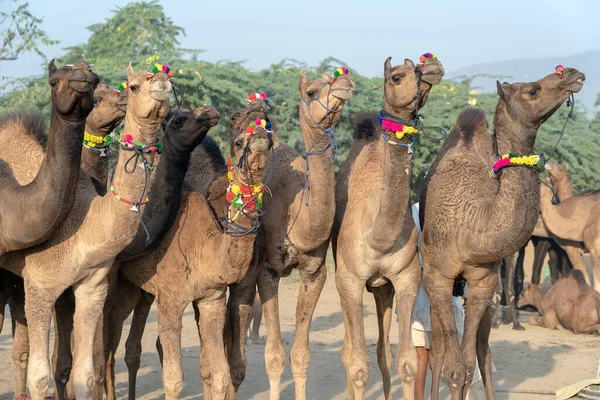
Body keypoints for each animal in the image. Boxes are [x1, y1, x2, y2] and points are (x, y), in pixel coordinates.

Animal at [103, 97, 272, 400]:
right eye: (239, 140)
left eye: (270, 137)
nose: (260, 137)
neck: (205, 246)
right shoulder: (171, 300)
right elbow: (173, 378)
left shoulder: (212, 299)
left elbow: (220, 373)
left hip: (137, 288)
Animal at [332, 54, 446, 400]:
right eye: (396, 77)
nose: (433, 66)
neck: (378, 236)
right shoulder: (349, 279)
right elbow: (357, 364)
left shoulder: (407, 277)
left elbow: (407, 362)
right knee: (349, 351)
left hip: (383, 287)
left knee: (383, 350)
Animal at [420, 67, 584, 398]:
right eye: (533, 90)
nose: (572, 74)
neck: (472, 223)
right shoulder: (437, 278)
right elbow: (453, 366)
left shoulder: (483, 281)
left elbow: (468, 363)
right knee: (439, 351)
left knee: (482, 351)